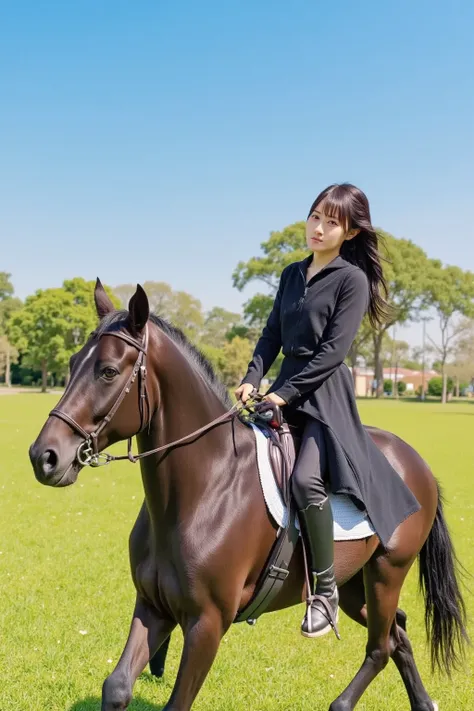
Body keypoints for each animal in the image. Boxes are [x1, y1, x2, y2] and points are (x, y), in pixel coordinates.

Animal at [28, 282, 466, 711]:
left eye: (108, 371)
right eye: (71, 364)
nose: (44, 456)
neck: (204, 490)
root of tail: (417, 462)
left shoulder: (207, 623)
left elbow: (176, 702)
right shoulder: (153, 606)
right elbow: (116, 687)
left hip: (387, 573)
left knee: (380, 646)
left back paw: (342, 702)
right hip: (355, 582)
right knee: (398, 633)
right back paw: (423, 703)